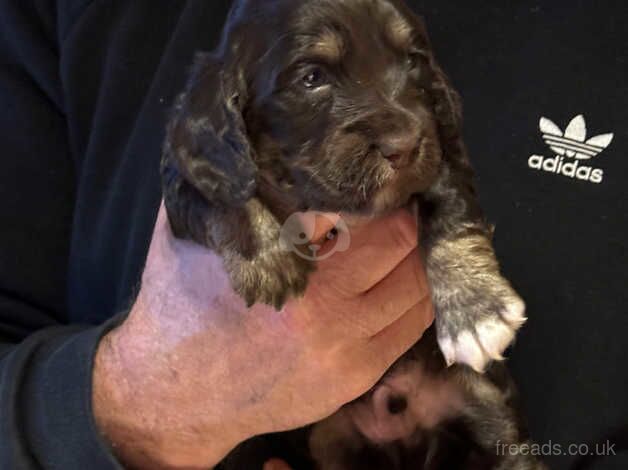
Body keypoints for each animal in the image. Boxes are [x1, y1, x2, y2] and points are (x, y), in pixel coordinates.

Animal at [159, 1, 548, 468]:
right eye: (312, 77)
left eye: (414, 62)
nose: (405, 145)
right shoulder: (184, 178)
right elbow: (222, 194)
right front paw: (269, 261)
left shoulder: (442, 145)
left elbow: (447, 200)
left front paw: (474, 311)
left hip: (488, 412)